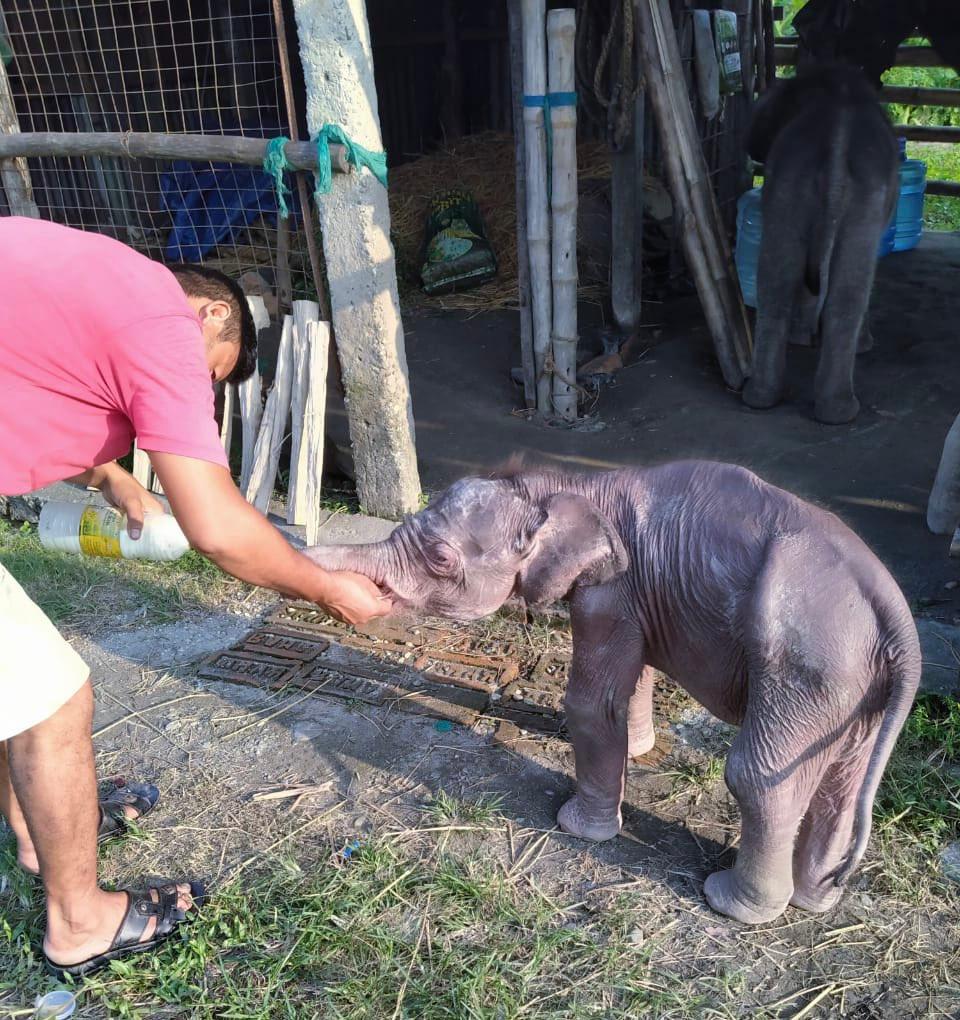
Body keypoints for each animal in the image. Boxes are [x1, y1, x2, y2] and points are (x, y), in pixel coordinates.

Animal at [308, 463, 922, 926]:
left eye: (439, 557)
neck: (562, 488)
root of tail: (898, 620)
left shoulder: (610, 590)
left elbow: (592, 702)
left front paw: (577, 829)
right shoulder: (640, 595)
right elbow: (632, 678)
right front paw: (639, 750)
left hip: (805, 667)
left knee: (759, 776)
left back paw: (731, 903)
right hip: (852, 684)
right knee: (842, 782)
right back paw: (817, 900)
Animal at [742, 63, 897, 424]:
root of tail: (836, 147)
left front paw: (804, 338)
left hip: (789, 183)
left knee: (775, 285)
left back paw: (761, 397)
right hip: (865, 200)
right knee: (848, 295)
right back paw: (840, 410)